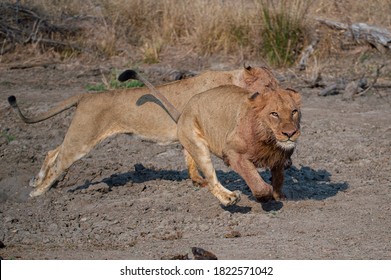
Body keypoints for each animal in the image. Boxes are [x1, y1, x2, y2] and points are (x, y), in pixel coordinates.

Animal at [8, 65, 278, 197]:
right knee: (58, 161)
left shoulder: (189, 131)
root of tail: (86, 96)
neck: (232, 81)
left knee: (52, 152)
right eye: (270, 85)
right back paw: (37, 193)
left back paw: (36, 181)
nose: (282, 93)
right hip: (82, 139)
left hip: (79, 135)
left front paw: (197, 181)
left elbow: (191, 161)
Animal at [129, 70, 304, 206]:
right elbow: (255, 180)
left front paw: (279, 195)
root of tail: (183, 112)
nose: (290, 133)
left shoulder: (279, 157)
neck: (269, 141)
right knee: (212, 181)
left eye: (294, 111)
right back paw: (229, 198)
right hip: (199, 148)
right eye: (274, 114)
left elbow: (279, 177)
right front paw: (265, 196)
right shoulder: (233, 153)